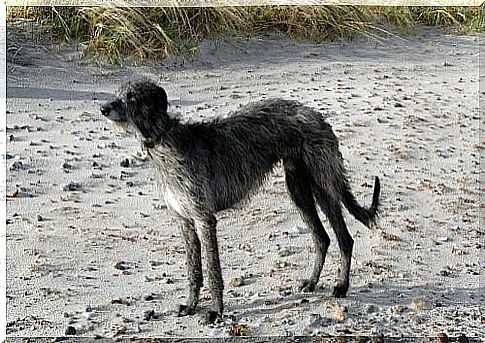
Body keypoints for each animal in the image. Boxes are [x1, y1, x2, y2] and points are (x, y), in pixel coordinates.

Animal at [100, 80, 380, 326]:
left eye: (132, 96)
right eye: (119, 92)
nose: (103, 108)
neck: (164, 142)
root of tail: (317, 116)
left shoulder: (204, 219)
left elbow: (212, 269)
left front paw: (215, 311)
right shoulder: (185, 221)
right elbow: (193, 269)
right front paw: (191, 305)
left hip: (322, 182)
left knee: (344, 238)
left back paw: (341, 285)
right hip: (298, 188)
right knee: (322, 237)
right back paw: (311, 282)